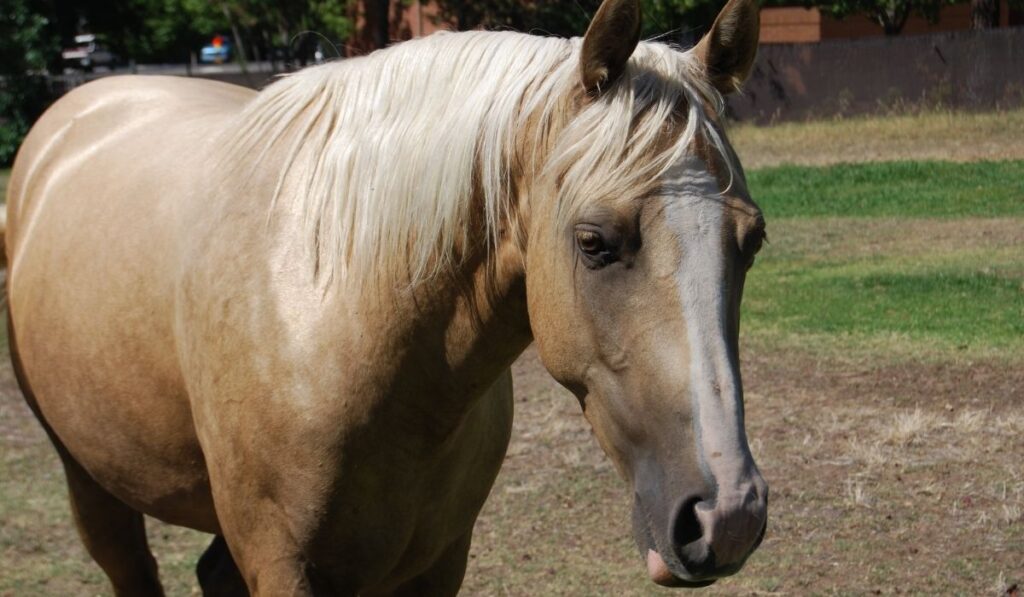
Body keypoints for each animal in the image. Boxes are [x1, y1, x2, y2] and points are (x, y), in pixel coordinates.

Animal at [6, 0, 761, 589]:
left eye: (751, 241)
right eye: (594, 241)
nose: (727, 516)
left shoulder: (440, 558)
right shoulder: (279, 562)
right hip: (93, 484)